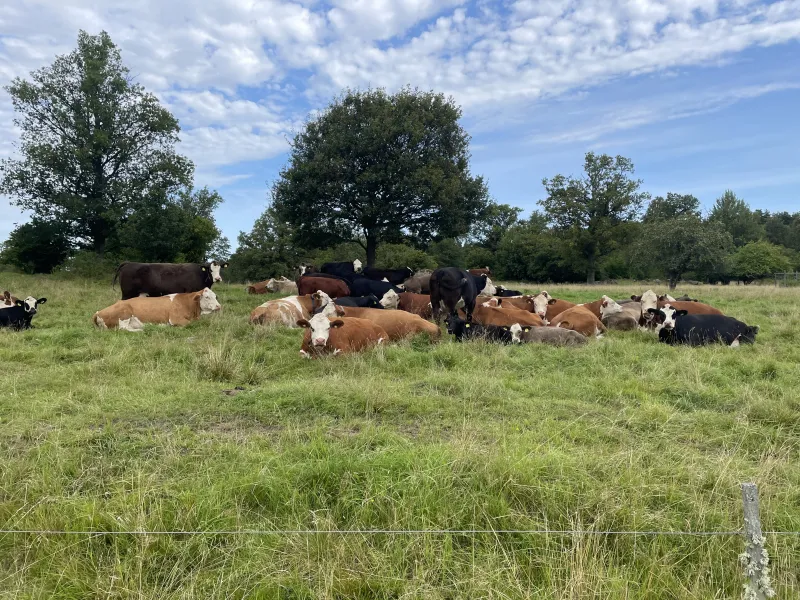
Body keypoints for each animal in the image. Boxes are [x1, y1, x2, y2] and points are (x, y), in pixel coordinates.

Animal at [93, 288, 221, 331]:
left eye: (216, 296)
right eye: (207, 297)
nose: (219, 306)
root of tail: (98, 312)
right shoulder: (175, 319)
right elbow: (188, 324)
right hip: (124, 314)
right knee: (122, 329)